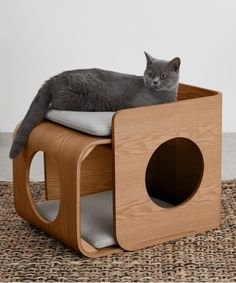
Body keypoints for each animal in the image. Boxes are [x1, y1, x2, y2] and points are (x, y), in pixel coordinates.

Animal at [9, 52, 181, 160]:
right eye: (150, 74)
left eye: (163, 76)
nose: (155, 82)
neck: (163, 96)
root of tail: (54, 78)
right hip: (82, 97)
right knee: (58, 102)